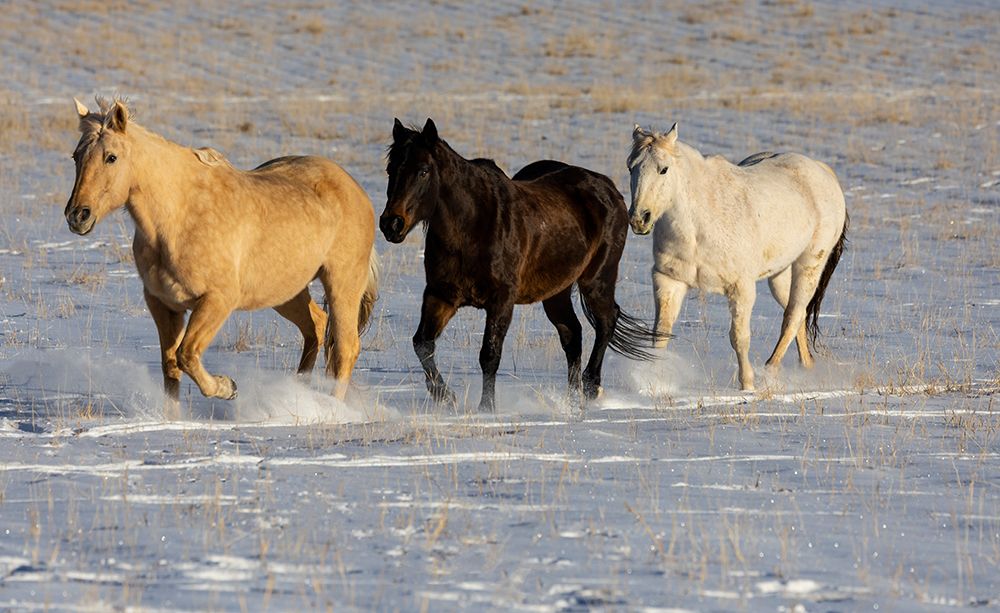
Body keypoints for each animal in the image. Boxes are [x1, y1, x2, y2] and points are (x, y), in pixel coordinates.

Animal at [65, 98, 379, 409]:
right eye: (76, 156)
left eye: (111, 157)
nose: (77, 216)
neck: (180, 216)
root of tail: (355, 189)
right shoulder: (163, 304)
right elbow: (171, 365)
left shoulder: (217, 300)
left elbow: (187, 354)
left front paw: (228, 388)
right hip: (286, 291)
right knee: (316, 328)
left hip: (342, 285)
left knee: (345, 347)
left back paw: (332, 408)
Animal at [380, 118, 658, 412]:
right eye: (390, 169)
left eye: (423, 171)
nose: (391, 224)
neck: (472, 227)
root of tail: (609, 189)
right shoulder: (440, 295)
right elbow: (422, 344)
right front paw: (445, 396)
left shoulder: (501, 300)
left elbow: (489, 354)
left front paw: (486, 409)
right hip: (556, 293)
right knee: (573, 335)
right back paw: (572, 402)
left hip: (596, 280)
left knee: (606, 321)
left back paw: (591, 387)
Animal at [627, 123, 848, 392]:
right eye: (631, 167)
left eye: (663, 169)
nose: (640, 219)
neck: (698, 225)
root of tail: (822, 171)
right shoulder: (669, 281)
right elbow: (661, 333)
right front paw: (655, 382)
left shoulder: (741, 288)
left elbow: (739, 338)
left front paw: (747, 385)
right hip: (780, 274)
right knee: (799, 315)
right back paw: (805, 368)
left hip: (809, 266)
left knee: (793, 316)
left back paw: (770, 372)